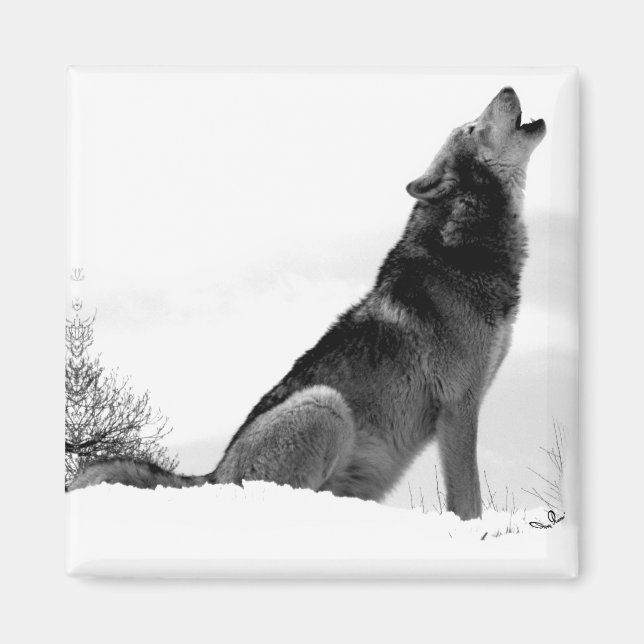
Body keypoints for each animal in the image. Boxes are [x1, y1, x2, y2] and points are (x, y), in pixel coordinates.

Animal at [69, 87, 545, 520]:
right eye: (471, 128)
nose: (507, 87)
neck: (462, 248)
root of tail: (213, 476)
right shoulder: (459, 406)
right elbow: (469, 501)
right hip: (325, 405)